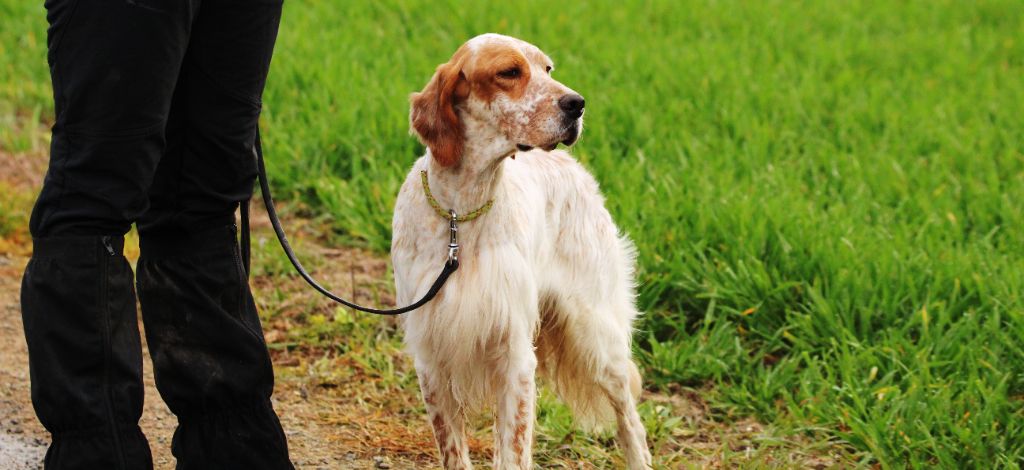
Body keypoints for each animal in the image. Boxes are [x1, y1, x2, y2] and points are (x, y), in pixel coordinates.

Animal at [391, 34, 655, 470]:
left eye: (547, 69)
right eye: (509, 72)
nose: (577, 104)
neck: (460, 215)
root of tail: (573, 167)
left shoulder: (513, 354)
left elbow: (513, 452)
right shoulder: (431, 357)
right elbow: (455, 451)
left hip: (598, 336)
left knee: (630, 422)